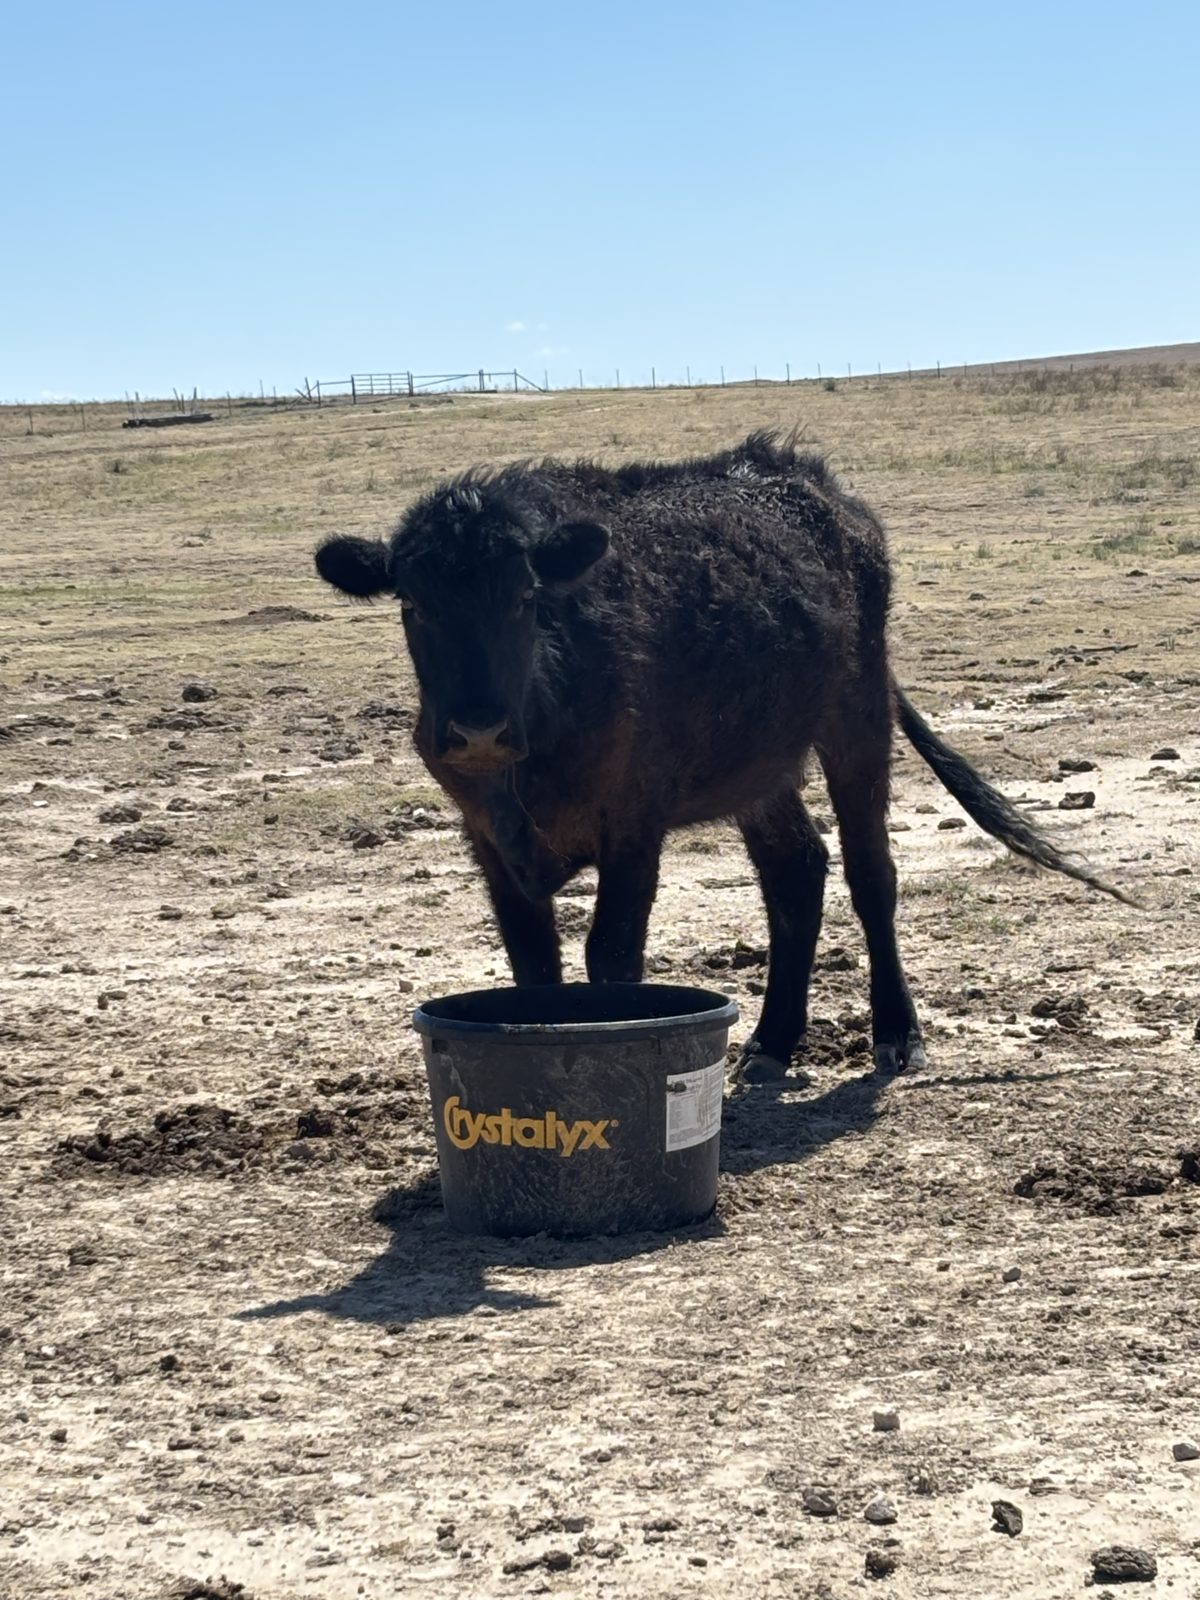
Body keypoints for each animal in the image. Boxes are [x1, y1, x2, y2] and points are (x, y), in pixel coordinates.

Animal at [314, 431, 1126, 1079]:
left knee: (871, 874)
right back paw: (771, 1042)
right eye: (414, 605)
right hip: (758, 763)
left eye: (524, 598)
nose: (478, 730)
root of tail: (814, 483)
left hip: (858, 714)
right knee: (796, 870)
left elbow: (611, 955)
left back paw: (897, 1034)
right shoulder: (487, 835)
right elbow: (533, 966)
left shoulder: (633, 819)